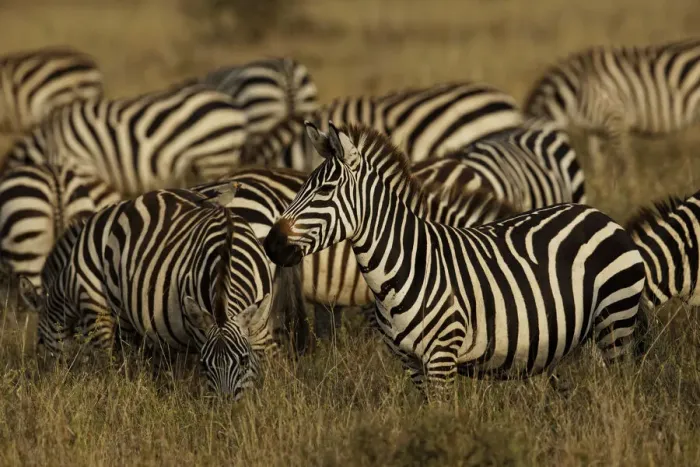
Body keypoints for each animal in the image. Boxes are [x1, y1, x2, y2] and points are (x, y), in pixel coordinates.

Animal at [522, 38, 700, 177]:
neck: (577, 92)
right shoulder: (594, 129)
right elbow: (597, 161)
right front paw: (601, 190)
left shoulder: (615, 119)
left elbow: (626, 161)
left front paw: (632, 191)